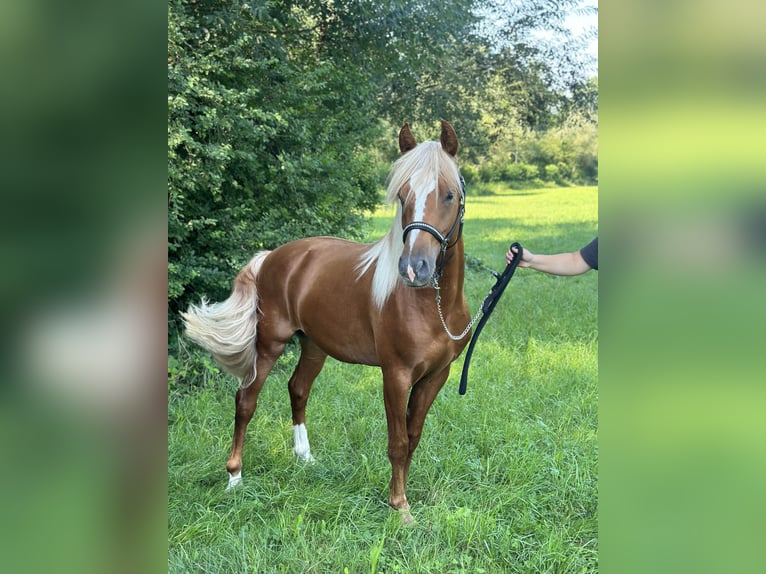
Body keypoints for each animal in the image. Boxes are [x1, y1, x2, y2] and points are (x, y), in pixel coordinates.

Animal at [184, 121, 474, 528]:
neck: (432, 307)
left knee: (298, 389)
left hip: (314, 346)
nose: (414, 268)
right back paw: (235, 478)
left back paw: (304, 458)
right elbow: (398, 442)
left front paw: (401, 497)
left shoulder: (436, 375)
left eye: (449, 194)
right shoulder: (396, 375)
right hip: (270, 345)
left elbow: (413, 435)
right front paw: (400, 508)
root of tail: (271, 256)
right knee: (246, 401)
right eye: (403, 195)